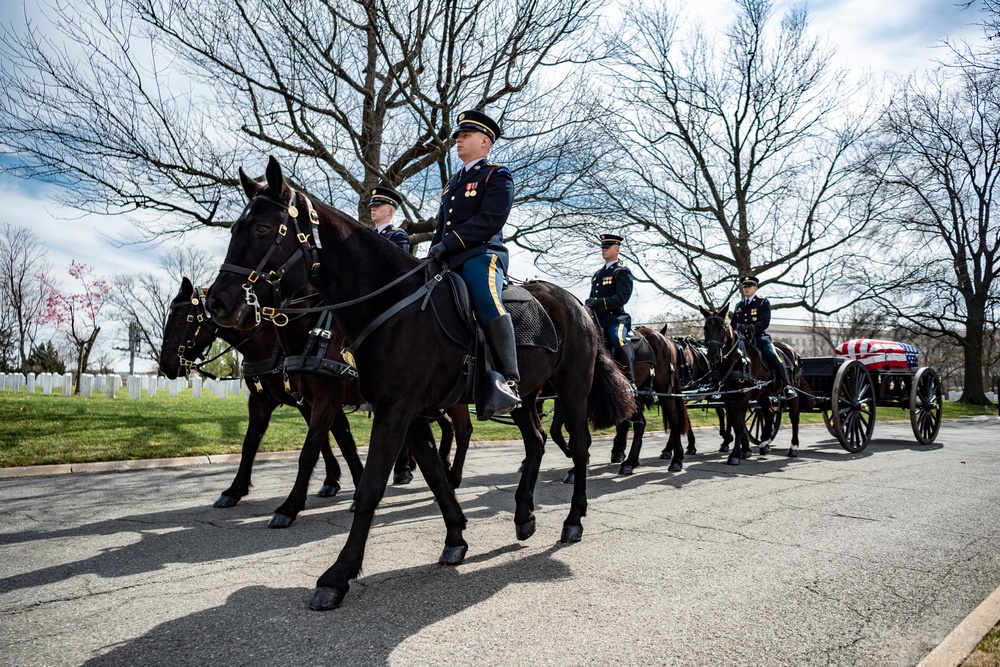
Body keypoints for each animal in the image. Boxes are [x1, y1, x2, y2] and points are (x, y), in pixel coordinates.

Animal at [205, 157, 632, 612]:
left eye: (262, 229)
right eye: (234, 229)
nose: (219, 302)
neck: (388, 303)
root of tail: (576, 304)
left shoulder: (392, 409)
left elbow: (371, 484)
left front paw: (338, 574)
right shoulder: (406, 412)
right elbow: (434, 474)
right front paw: (456, 537)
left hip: (572, 389)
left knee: (581, 448)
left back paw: (573, 520)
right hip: (524, 395)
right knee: (535, 441)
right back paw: (524, 516)